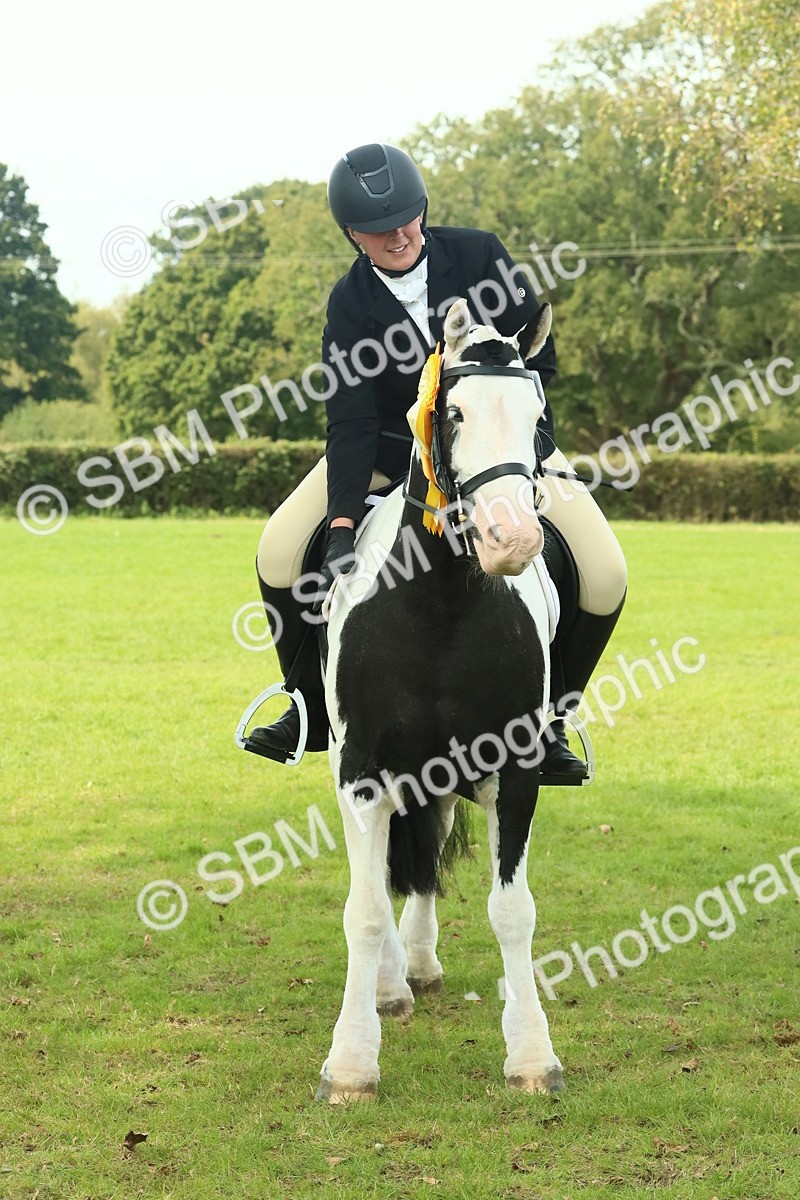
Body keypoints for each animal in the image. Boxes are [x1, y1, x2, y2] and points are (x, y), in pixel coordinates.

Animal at [315, 297, 566, 1103]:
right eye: (452, 412)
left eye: (538, 418)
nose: (511, 540)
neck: (439, 606)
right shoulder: (362, 769)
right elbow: (364, 911)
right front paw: (352, 1064)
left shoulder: (514, 767)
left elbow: (513, 909)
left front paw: (531, 1055)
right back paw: (393, 983)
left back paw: (419, 964)